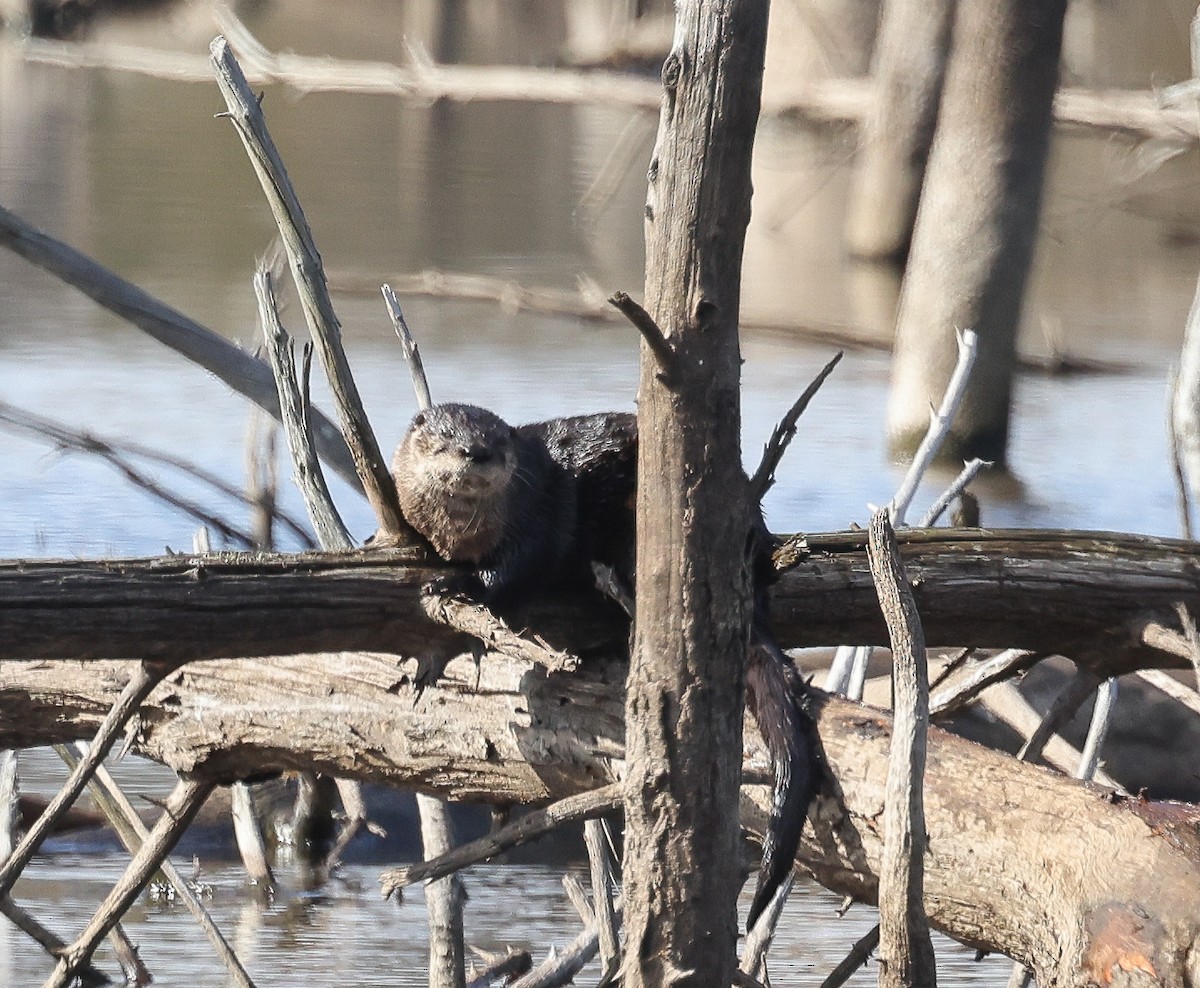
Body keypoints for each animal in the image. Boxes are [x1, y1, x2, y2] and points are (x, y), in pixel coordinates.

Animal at [392, 402, 816, 930]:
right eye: (447, 436)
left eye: (497, 439)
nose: (478, 452)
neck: (463, 535)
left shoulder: (537, 519)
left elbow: (514, 571)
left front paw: (458, 586)